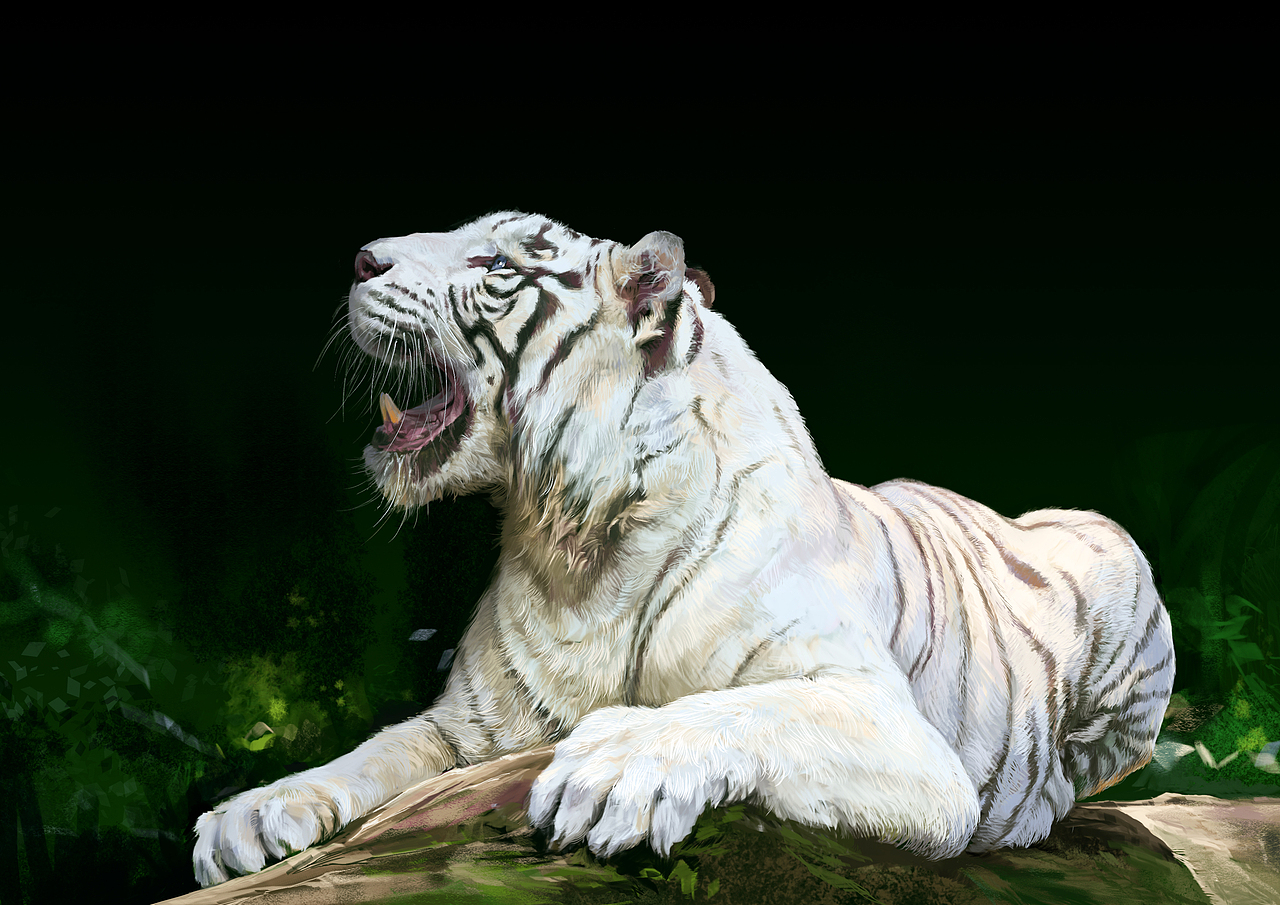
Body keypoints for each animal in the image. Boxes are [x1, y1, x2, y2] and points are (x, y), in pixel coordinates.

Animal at [192, 211, 1175, 887]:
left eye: (498, 264)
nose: (361, 259)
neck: (571, 551)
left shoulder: (897, 731)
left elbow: (744, 708)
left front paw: (611, 768)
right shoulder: (471, 726)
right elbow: (375, 751)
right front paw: (251, 813)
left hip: (1119, 577)